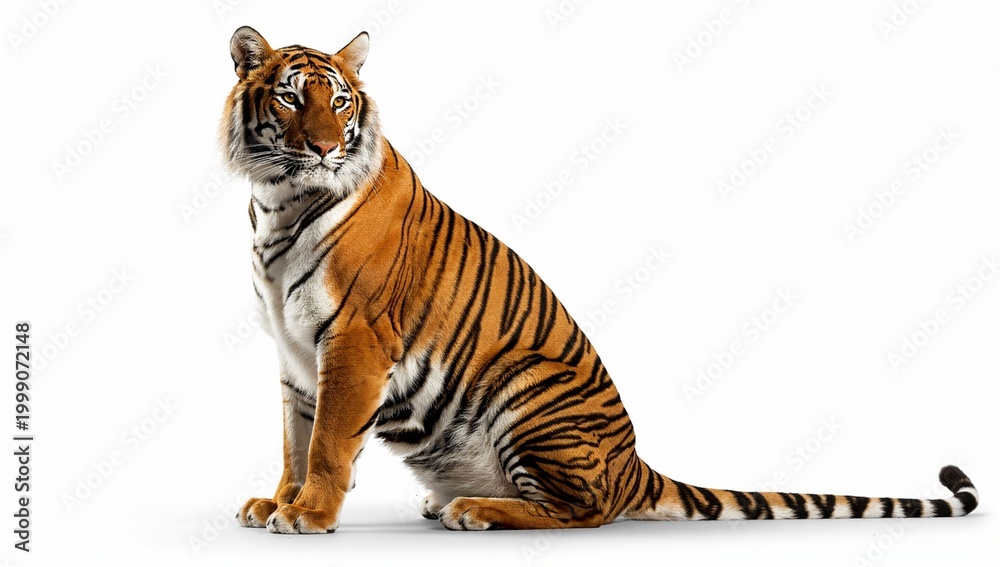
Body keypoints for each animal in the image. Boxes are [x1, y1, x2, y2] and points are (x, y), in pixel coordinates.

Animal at [220, 26, 979, 534]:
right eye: (290, 100)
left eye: (341, 103)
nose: (324, 148)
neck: (279, 202)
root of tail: (633, 464)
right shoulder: (294, 350)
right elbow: (295, 438)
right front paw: (276, 503)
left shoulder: (354, 338)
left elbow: (327, 442)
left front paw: (310, 514)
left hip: (525, 385)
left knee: (582, 512)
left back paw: (473, 507)